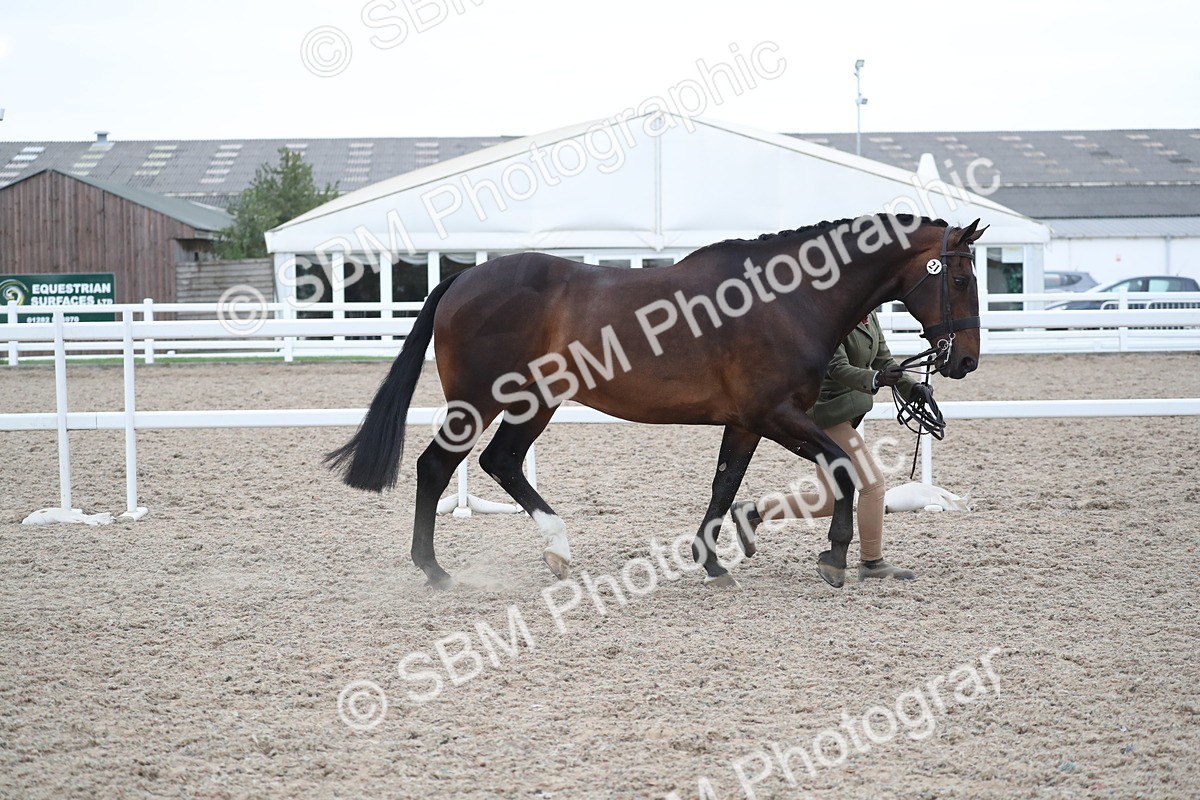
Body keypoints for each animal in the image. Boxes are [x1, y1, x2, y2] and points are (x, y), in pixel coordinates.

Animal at [326, 213, 987, 589]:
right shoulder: (777, 414)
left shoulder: (747, 422)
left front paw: (713, 562)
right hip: (481, 402)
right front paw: (833, 558)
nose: (964, 361)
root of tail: (463, 277)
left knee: (502, 462)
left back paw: (557, 552)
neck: (787, 298)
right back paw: (435, 571)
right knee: (438, 465)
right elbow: (844, 468)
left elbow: (725, 484)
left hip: (537, 402)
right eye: (958, 278)